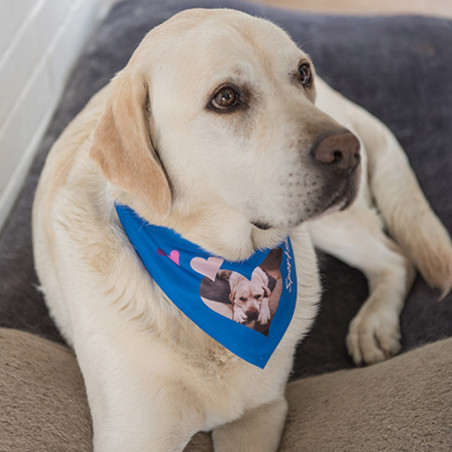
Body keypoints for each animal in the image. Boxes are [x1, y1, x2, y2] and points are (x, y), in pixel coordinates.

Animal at [32, 7, 452, 452]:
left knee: (396, 258)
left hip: (333, 225)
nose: (347, 149)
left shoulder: (260, 411)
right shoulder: (134, 436)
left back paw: (374, 325)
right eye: (226, 98)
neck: (212, 258)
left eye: (303, 73)